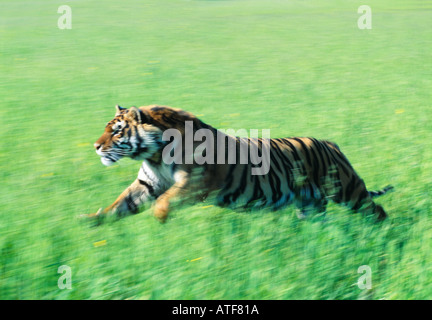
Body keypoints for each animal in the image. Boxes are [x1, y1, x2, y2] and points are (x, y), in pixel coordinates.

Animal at [86, 105, 394, 222]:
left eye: (117, 131)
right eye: (107, 129)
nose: (96, 146)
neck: (154, 154)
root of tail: (331, 143)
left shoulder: (197, 183)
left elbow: (164, 201)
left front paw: (159, 219)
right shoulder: (147, 183)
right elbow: (121, 204)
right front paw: (92, 220)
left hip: (347, 190)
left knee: (376, 210)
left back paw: (381, 233)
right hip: (310, 203)